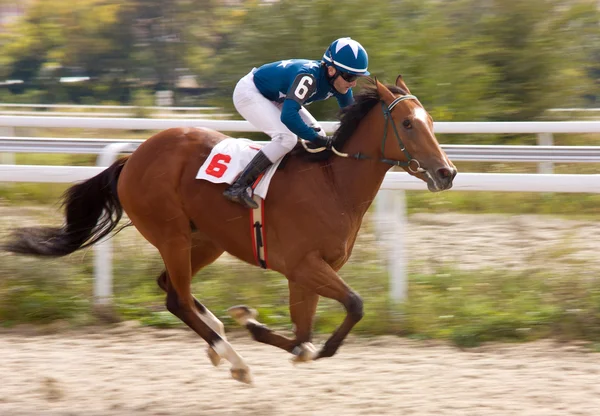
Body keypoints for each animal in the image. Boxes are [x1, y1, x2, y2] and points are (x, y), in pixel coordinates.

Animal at [3, 75, 454, 384]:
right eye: (408, 125)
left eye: (431, 121)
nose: (446, 173)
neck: (332, 184)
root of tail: (131, 158)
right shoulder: (303, 266)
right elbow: (350, 309)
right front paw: (256, 327)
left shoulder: (307, 273)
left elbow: (304, 334)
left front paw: (255, 323)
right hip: (171, 234)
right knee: (179, 300)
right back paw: (235, 359)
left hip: (206, 239)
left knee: (172, 288)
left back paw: (221, 339)